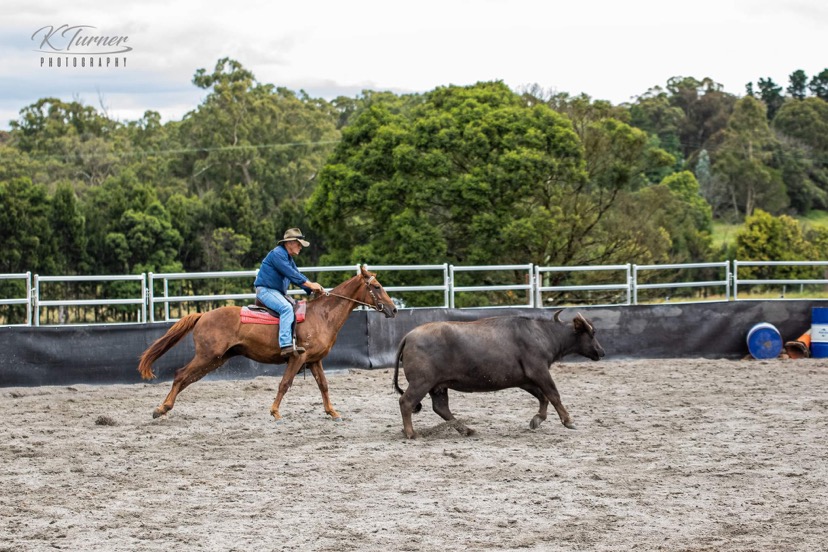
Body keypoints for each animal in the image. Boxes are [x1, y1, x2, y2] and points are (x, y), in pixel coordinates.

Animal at [138, 265, 397, 422]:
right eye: (376, 286)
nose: (393, 309)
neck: (321, 315)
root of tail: (203, 315)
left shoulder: (315, 360)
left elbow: (323, 385)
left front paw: (332, 411)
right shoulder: (298, 357)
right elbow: (285, 383)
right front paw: (275, 411)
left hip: (214, 360)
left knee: (187, 379)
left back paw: (165, 407)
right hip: (207, 356)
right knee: (181, 375)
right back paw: (160, 409)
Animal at [392, 311, 604, 439]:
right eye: (592, 333)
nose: (601, 352)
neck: (542, 334)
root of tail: (409, 336)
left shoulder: (525, 380)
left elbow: (542, 397)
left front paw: (537, 419)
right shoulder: (539, 372)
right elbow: (553, 395)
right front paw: (569, 421)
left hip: (438, 386)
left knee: (441, 408)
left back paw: (467, 429)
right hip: (422, 382)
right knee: (406, 402)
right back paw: (411, 433)